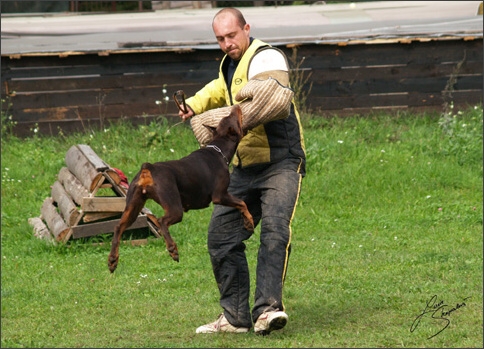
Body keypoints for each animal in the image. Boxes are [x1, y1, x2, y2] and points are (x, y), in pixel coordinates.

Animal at [108, 104, 255, 274]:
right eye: (234, 117)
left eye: (227, 116)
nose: (236, 106)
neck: (219, 149)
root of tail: (148, 168)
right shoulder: (220, 195)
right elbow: (242, 203)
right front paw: (249, 222)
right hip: (173, 205)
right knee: (161, 221)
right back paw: (172, 249)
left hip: (133, 205)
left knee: (118, 227)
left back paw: (112, 260)